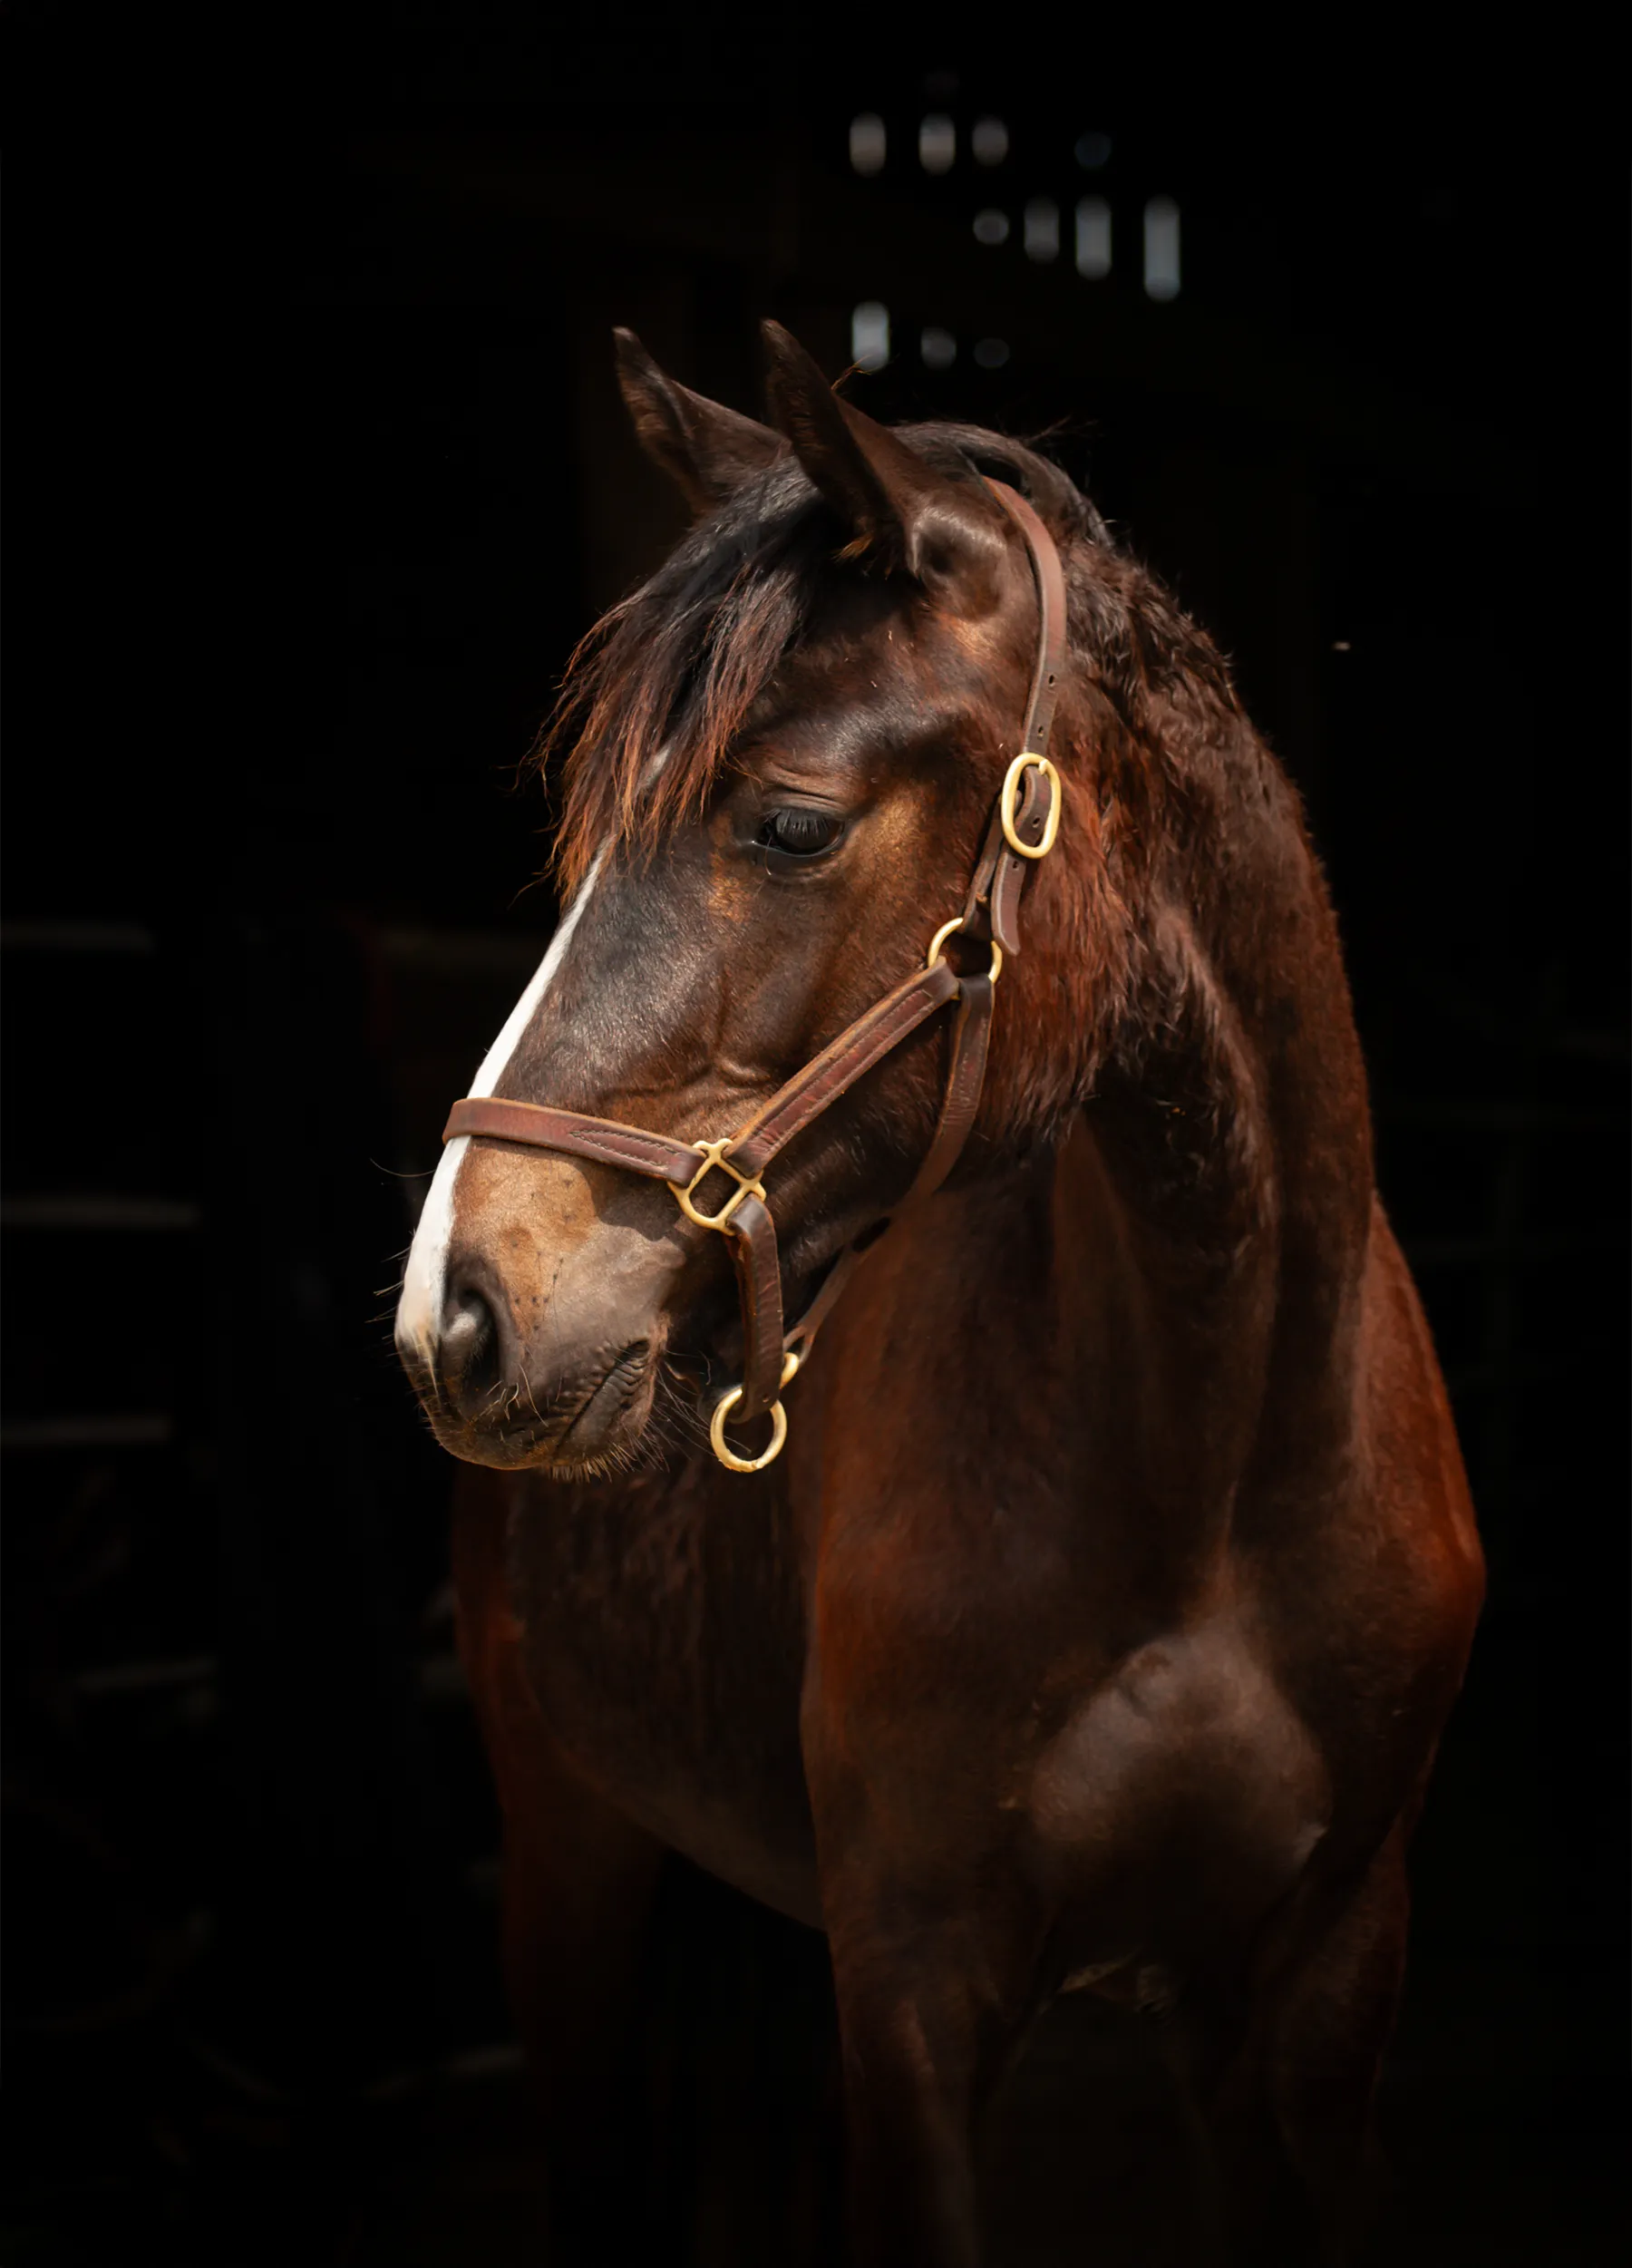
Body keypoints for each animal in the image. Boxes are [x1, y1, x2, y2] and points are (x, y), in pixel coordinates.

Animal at [394, 319, 1484, 2265]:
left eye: (791, 823)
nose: (460, 1305)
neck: (1212, 1473)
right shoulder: (916, 1990)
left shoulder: (1306, 2011)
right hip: (571, 1871)